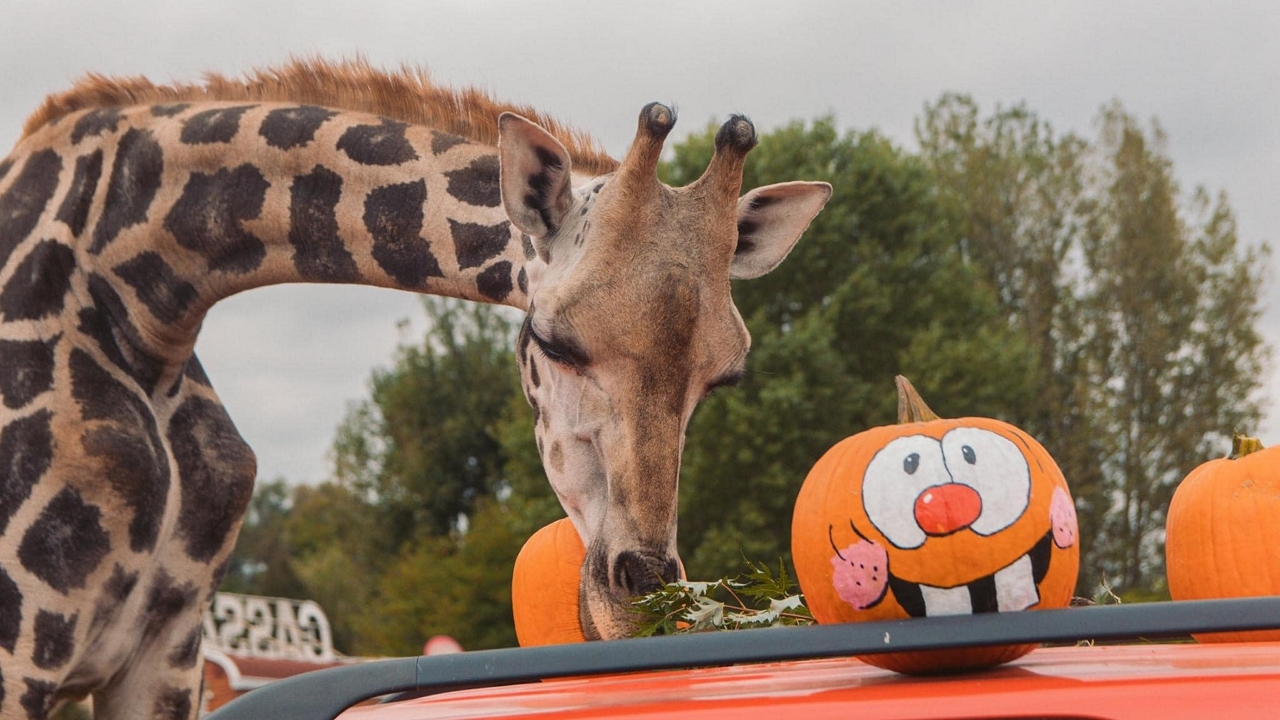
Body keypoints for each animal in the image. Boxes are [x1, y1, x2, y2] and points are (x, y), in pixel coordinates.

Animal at [0, 58, 829, 712]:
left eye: (724, 377)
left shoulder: (165, 651)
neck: (148, 305)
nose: (638, 603)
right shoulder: (27, 644)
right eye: (552, 341)